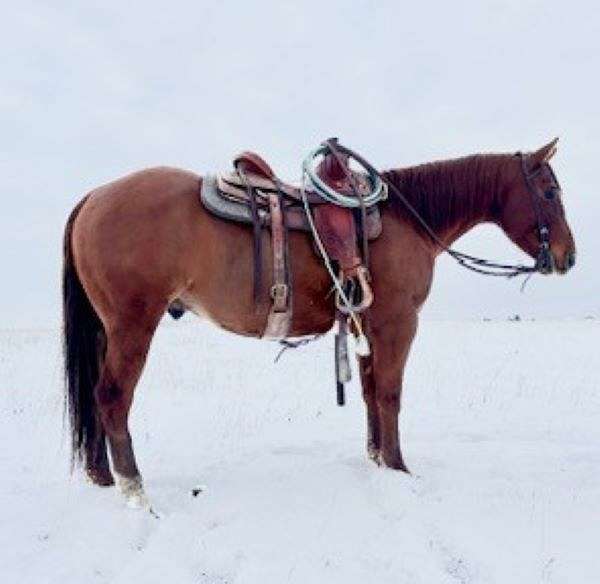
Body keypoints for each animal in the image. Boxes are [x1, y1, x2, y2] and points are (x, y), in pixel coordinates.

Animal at [62, 137, 576, 506]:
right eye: (550, 191)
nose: (569, 256)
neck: (405, 219)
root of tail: (94, 196)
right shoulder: (397, 324)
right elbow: (390, 395)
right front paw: (399, 468)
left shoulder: (367, 325)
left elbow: (370, 392)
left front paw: (376, 459)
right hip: (132, 326)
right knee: (112, 398)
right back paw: (134, 488)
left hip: (107, 329)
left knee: (95, 395)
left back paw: (102, 475)